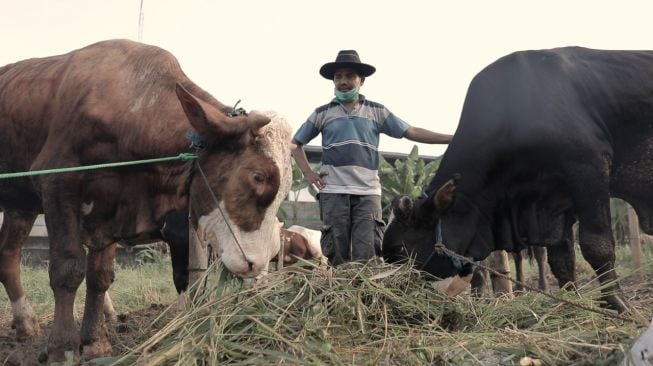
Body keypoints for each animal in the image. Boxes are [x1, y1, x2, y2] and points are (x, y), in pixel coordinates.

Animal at [0, 40, 290, 364]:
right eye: (258, 177)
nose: (257, 264)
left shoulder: (112, 209)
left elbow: (100, 275)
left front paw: (95, 341)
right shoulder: (58, 184)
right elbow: (67, 268)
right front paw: (62, 347)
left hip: (20, 207)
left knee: (7, 255)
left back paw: (26, 323)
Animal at [384, 47, 652, 312]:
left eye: (400, 249)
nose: (393, 293)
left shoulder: (590, 170)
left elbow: (597, 245)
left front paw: (619, 304)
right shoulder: (554, 203)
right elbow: (562, 259)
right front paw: (571, 304)